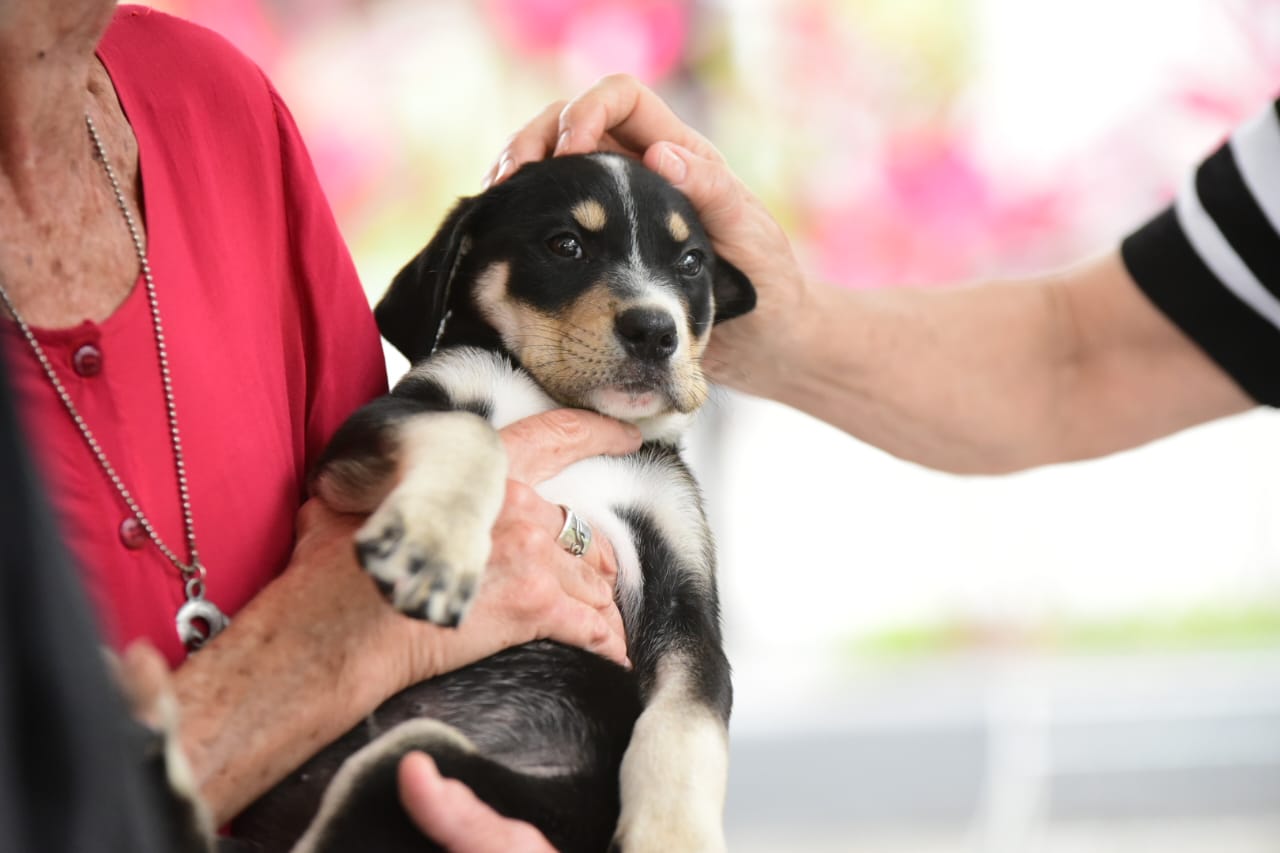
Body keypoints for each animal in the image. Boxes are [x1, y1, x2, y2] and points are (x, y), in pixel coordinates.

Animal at [235, 153, 752, 850]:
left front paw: (673, 838)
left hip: (446, 771)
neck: (558, 401)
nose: (654, 331)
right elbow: (472, 432)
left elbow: (690, 725)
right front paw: (435, 547)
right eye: (565, 245)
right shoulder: (372, 431)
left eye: (692, 262)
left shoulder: (686, 597)